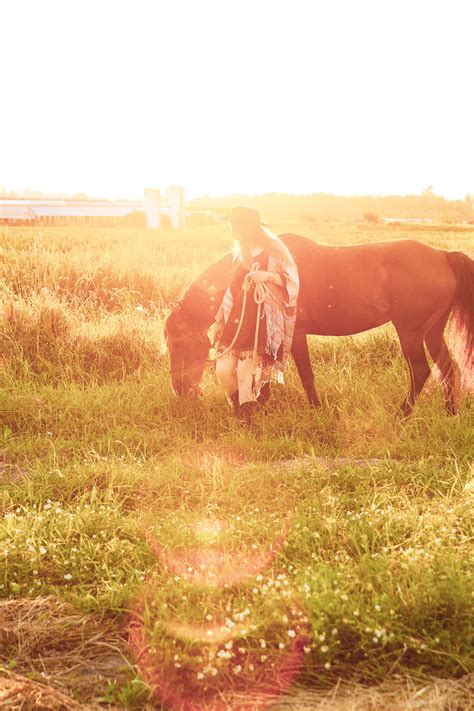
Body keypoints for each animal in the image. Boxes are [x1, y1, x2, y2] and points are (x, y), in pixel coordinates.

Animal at [164, 233, 474, 415]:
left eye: (178, 343)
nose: (179, 391)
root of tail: (443, 256)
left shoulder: (295, 335)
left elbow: (305, 375)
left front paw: (315, 409)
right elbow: (265, 372)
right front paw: (259, 405)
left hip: (410, 332)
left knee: (420, 371)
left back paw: (403, 414)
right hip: (432, 332)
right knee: (447, 369)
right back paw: (450, 412)